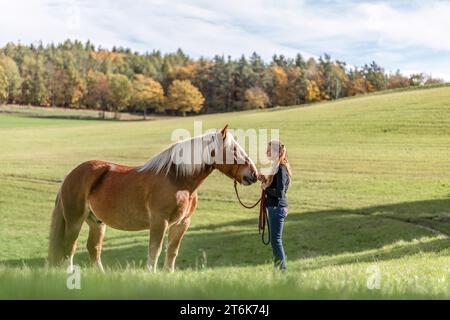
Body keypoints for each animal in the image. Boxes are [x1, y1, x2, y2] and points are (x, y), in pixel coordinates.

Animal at [47, 125, 258, 272]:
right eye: (234, 150)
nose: (253, 175)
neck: (177, 179)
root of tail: (71, 175)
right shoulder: (159, 221)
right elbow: (155, 250)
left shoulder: (182, 223)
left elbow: (172, 251)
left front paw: (168, 274)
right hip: (75, 220)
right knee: (69, 247)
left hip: (96, 222)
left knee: (93, 248)